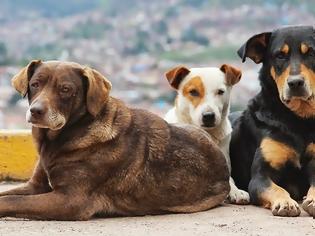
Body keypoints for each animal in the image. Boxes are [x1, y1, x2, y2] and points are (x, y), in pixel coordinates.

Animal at [0, 60, 230, 220]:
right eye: (35, 84)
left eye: (65, 89)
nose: (36, 111)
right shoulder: (36, 187)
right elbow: (7, 194)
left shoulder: (68, 200)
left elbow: (11, 200)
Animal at [231, 26, 314, 218]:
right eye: (280, 56)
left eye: (311, 52)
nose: (295, 83)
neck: (297, 120)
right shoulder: (260, 176)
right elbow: (276, 188)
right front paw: (286, 203)